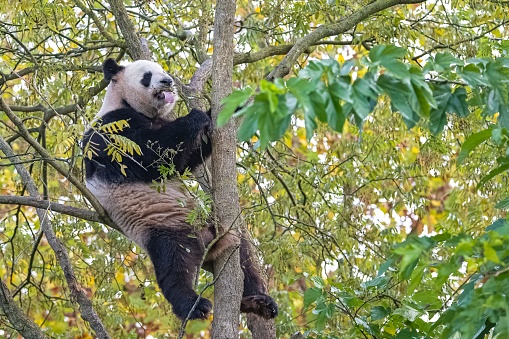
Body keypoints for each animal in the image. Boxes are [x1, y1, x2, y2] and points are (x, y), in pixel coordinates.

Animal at [82, 59, 278, 322]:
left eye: (163, 70)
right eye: (147, 75)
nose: (167, 81)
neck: (124, 101)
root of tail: (204, 243)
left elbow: (184, 160)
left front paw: (234, 105)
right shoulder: (111, 129)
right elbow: (149, 155)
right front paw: (195, 116)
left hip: (217, 226)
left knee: (243, 256)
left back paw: (257, 301)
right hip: (161, 226)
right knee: (173, 267)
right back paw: (194, 305)